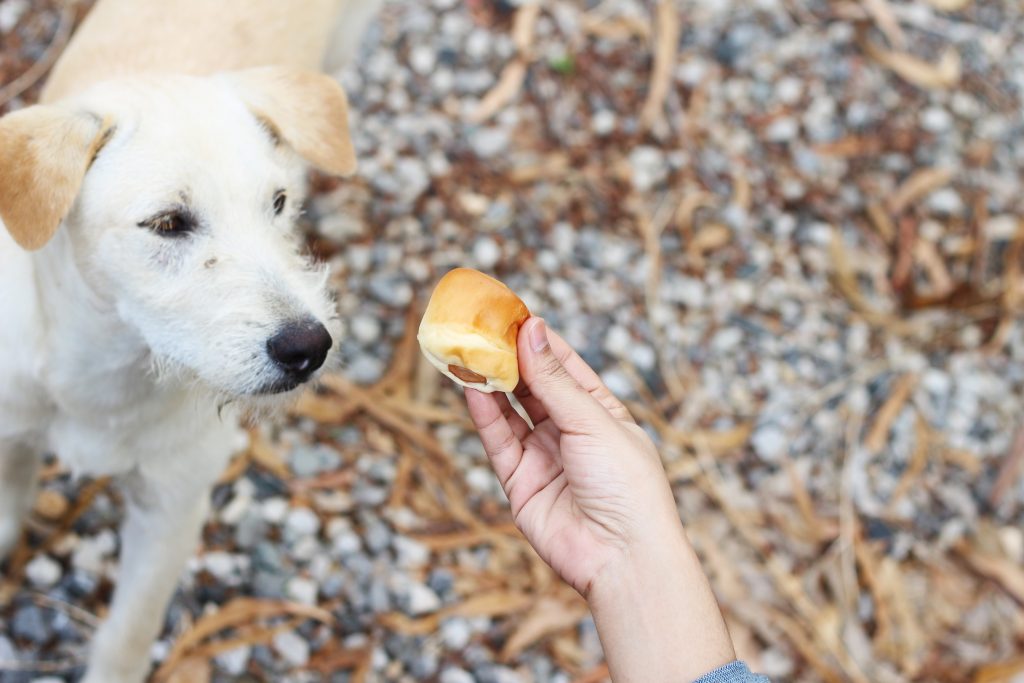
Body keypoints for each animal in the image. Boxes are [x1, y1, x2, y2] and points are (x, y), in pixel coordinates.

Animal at [0, 2, 380, 679]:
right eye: (168, 223)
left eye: (277, 203)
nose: (309, 347)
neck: (101, 377)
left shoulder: (171, 511)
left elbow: (128, 633)